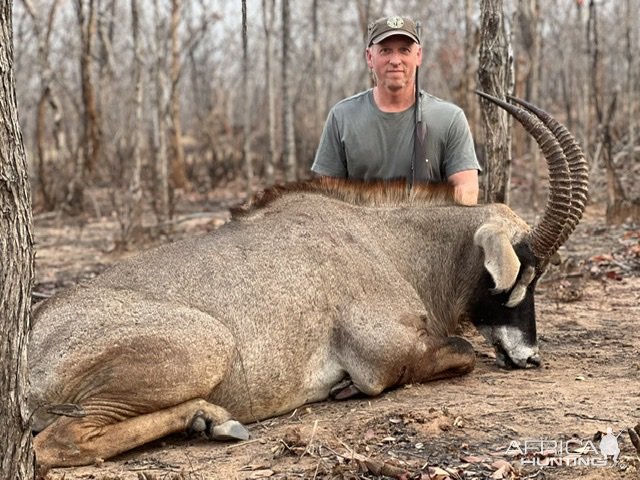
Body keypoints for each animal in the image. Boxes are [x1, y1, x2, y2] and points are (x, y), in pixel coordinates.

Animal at [31, 92, 592, 466]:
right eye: (524, 275)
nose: (529, 356)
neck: (390, 244)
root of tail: (31, 338)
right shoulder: (385, 354)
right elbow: (461, 354)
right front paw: (345, 390)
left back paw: (206, 421)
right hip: (206, 345)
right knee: (56, 441)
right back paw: (214, 419)